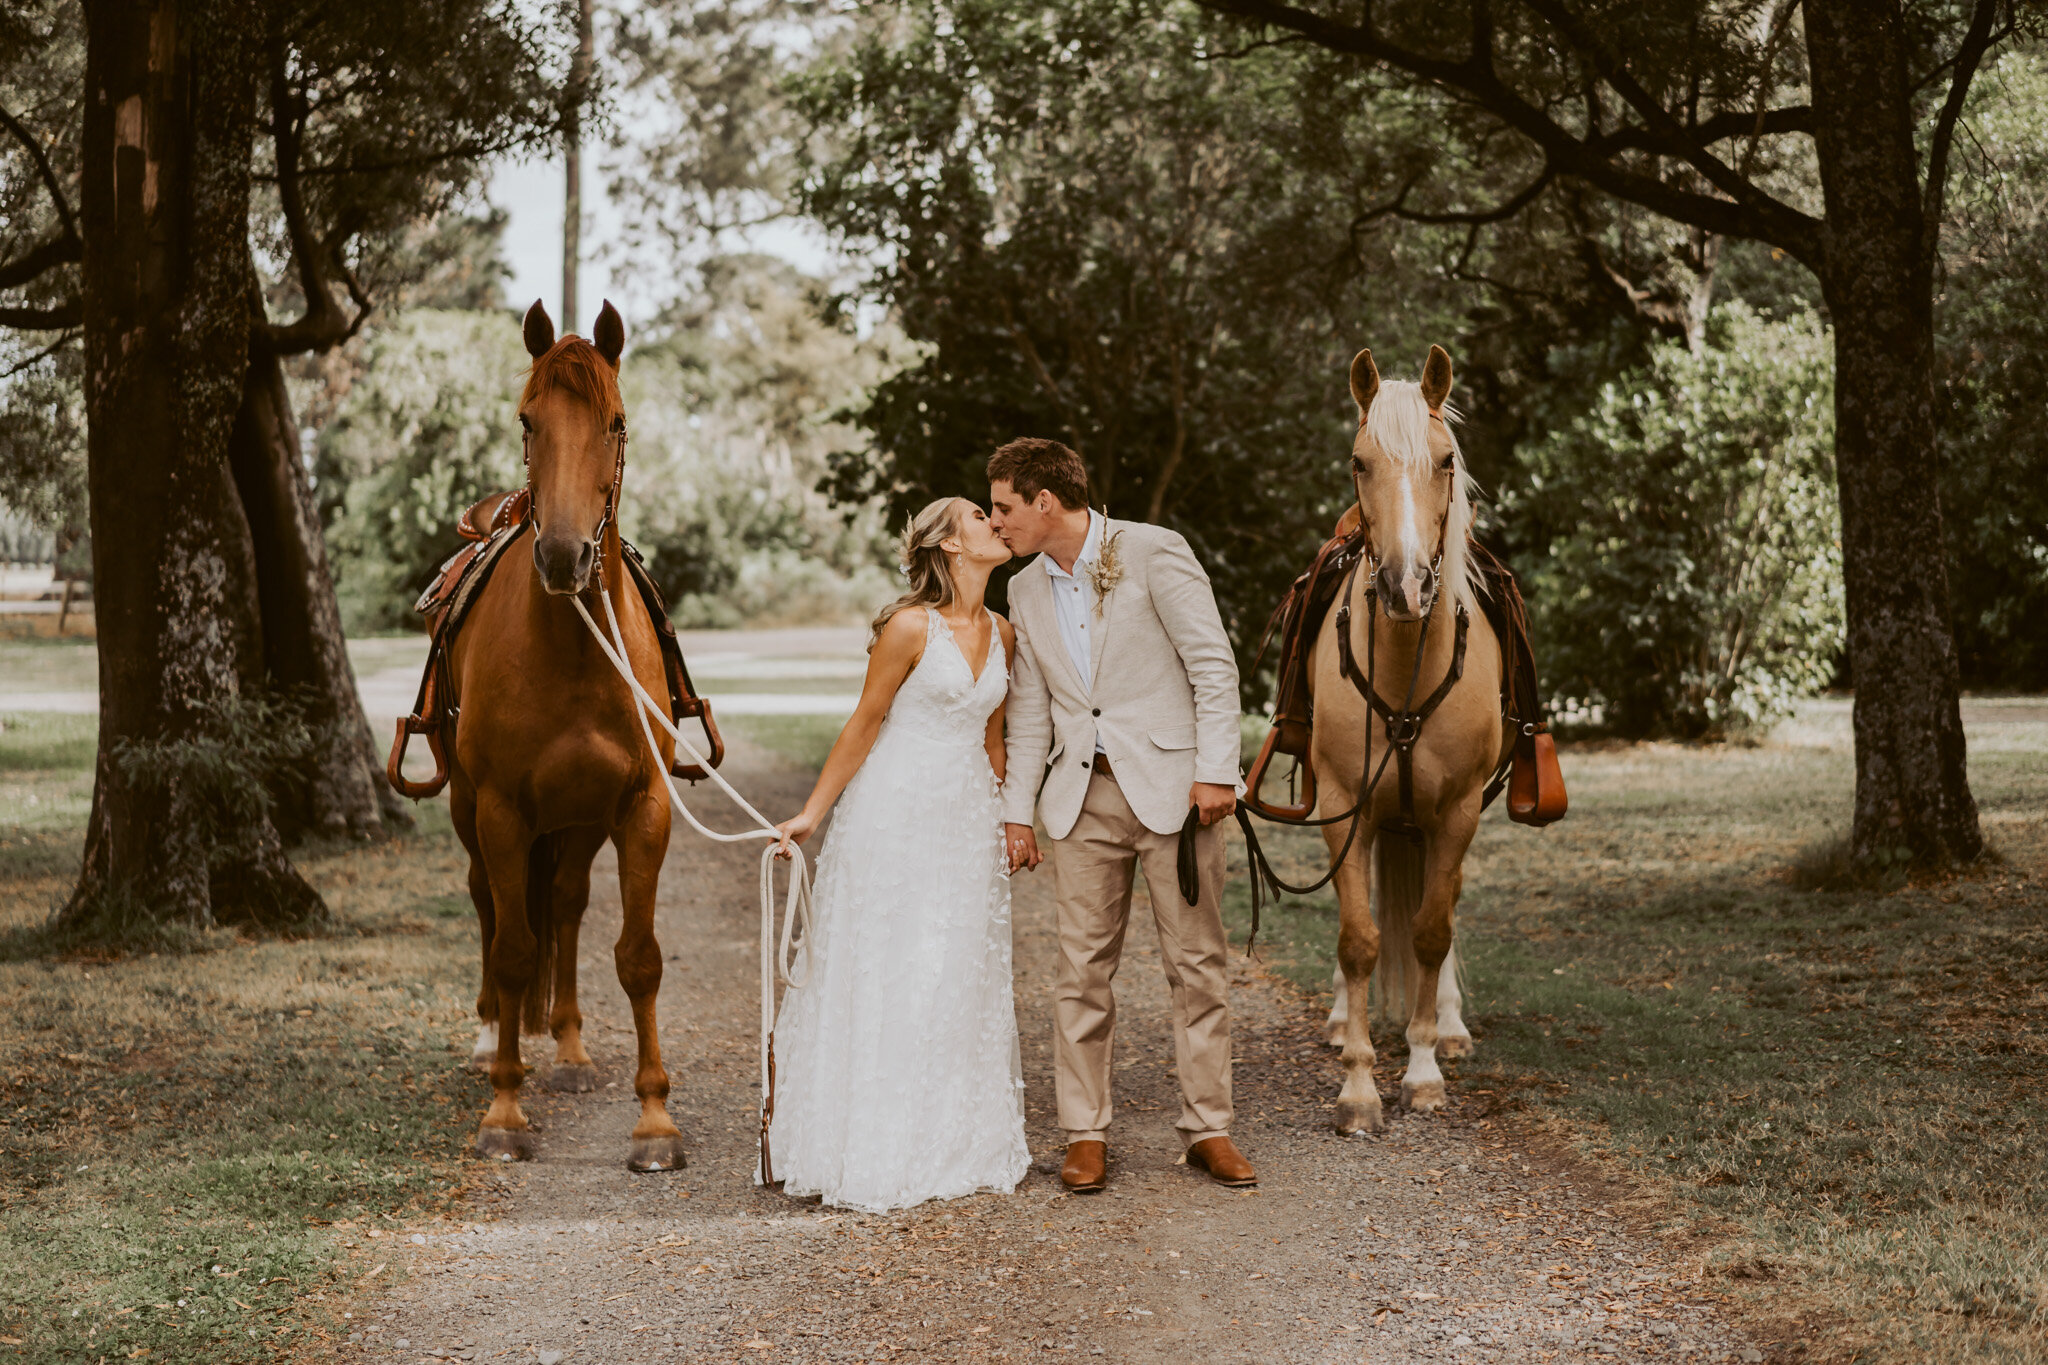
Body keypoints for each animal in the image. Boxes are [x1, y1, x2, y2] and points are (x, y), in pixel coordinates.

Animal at [448, 304, 688, 1170]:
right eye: (528, 420)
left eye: (613, 422)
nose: (561, 553)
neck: (578, 649)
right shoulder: (502, 812)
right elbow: (517, 949)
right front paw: (505, 1109)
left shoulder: (642, 808)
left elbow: (638, 956)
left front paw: (654, 1119)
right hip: (469, 811)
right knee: (490, 906)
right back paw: (493, 1034)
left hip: (580, 823)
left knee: (568, 903)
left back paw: (573, 1049)